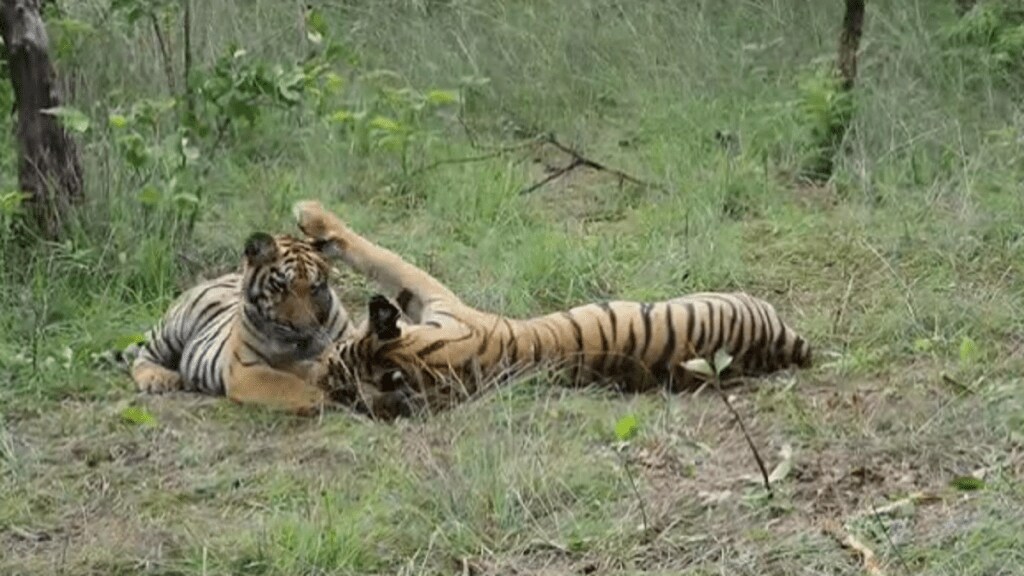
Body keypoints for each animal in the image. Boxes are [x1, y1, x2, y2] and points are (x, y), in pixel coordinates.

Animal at [117, 228, 352, 412]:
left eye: (314, 288)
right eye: (281, 287)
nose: (301, 328)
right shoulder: (246, 369)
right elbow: (292, 386)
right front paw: (329, 398)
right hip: (175, 327)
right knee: (143, 355)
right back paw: (159, 378)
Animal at [292, 199, 811, 420]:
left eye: (336, 357)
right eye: (338, 384)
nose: (315, 371)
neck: (426, 364)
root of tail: (786, 345)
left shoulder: (437, 297)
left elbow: (378, 255)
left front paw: (311, 214)